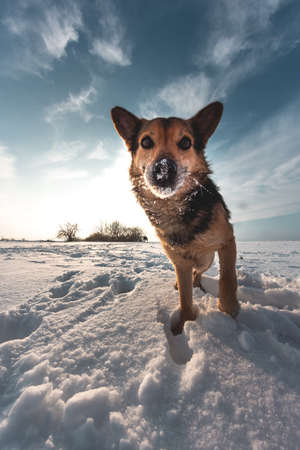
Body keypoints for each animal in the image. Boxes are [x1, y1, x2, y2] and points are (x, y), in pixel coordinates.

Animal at [110, 102, 239, 334]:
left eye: (186, 142)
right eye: (146, 142)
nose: (164, 169)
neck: (177, 208)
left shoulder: (227, 240)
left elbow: (227, 278)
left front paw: (228, 309)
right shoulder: (179, 261)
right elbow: (185, 299)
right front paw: (185, 324)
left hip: (207, 259)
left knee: (200, 272)